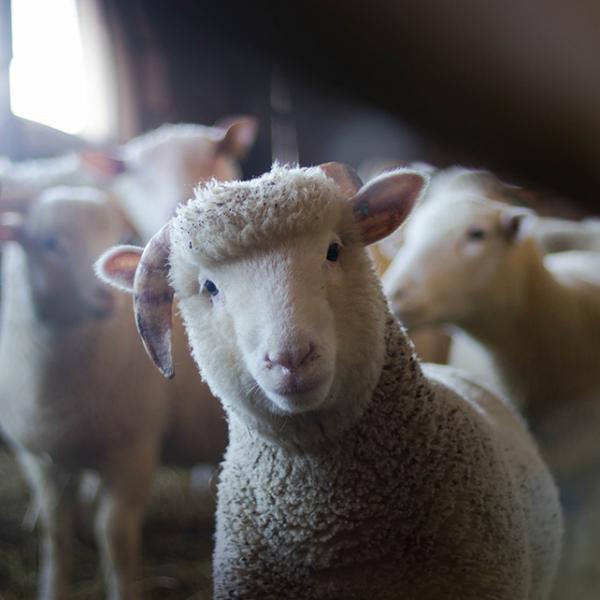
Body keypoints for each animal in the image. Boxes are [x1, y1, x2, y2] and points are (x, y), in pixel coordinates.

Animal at [0, 185, 226, 596]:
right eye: (49, 243)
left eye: (116, 235)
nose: (103, 296)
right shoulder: (41, 460)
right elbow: (55, 532)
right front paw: (52, 590)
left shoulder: (134, 451)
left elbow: (114, 535)